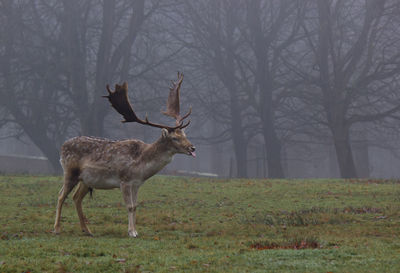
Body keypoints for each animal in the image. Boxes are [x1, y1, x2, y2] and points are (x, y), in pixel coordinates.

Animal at [53, 73, 195, 237]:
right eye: (175, 138)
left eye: (185, 134)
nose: (192, 148)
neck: (141, 165)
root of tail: (62, 146)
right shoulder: (124, 180)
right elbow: (129, 206)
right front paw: (131, 232)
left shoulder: (137, 183)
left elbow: (135, 205)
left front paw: (135, 230)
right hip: (70, 171)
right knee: (61, 195)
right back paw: (57, 229)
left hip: (85, 180)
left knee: (76, 197)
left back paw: (87, 230)